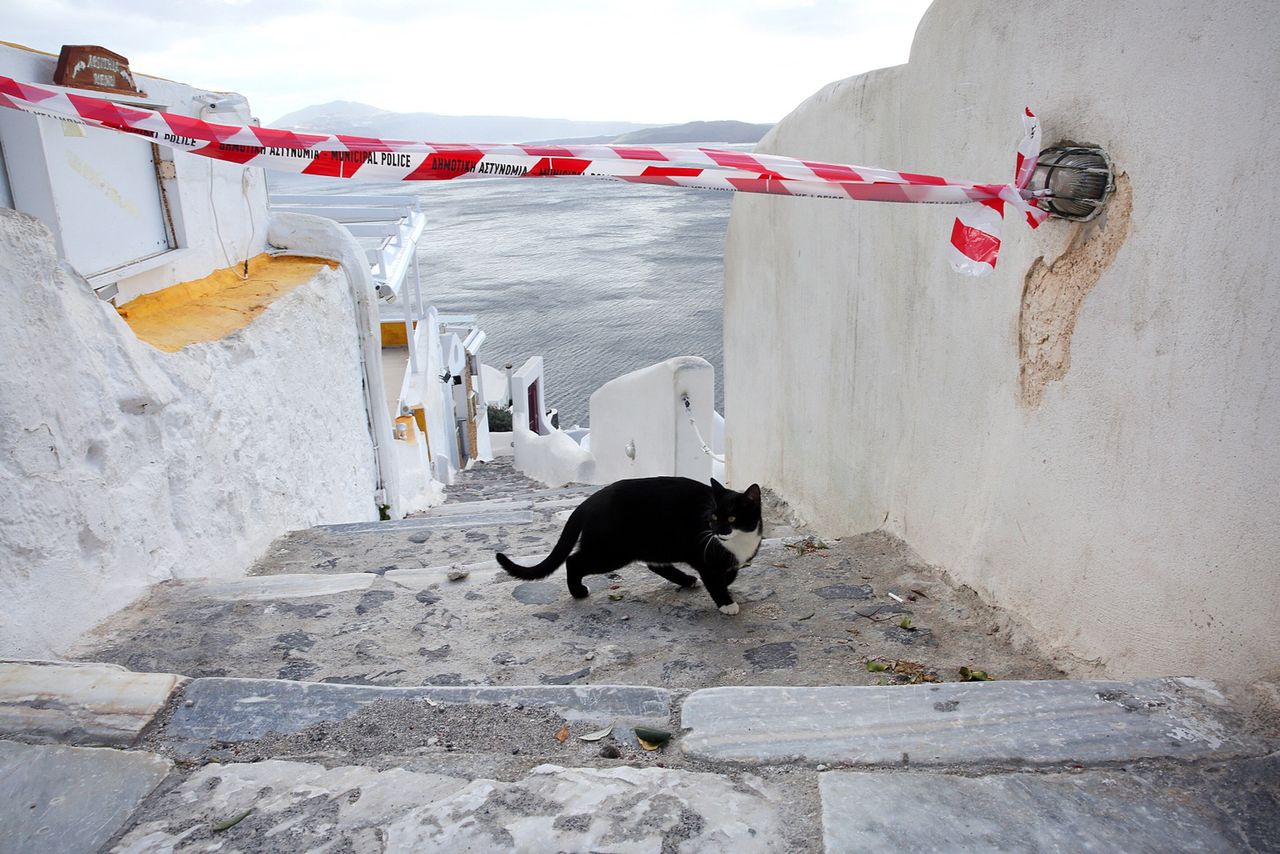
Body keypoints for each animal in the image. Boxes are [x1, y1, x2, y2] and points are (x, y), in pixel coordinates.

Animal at [496, 481, 757, 614]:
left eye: (732, 518)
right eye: (712, 517)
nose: (718, 531)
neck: (739, 542)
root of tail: (588, 501)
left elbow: (729, 573)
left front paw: (728, 583)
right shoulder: (704, 557)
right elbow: (715, 580)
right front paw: (726, 603)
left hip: (654, 543)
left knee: (655, 565)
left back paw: (686, 580)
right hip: (612, 552)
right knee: (574, 561)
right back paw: (578, 591)